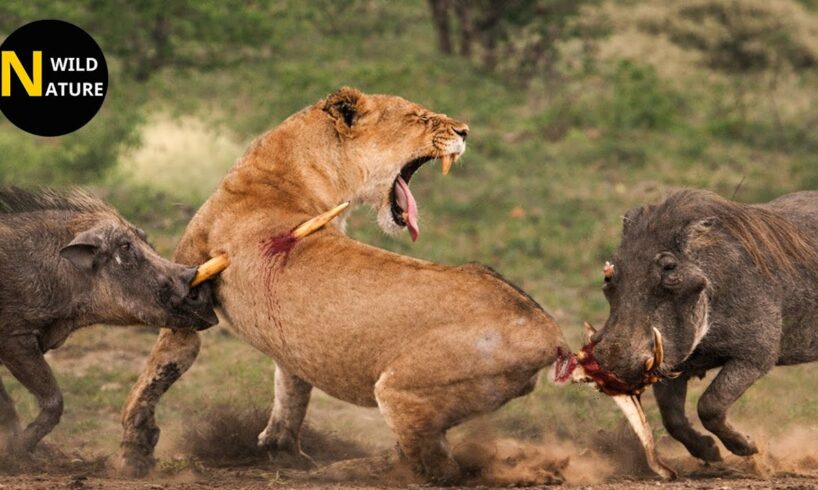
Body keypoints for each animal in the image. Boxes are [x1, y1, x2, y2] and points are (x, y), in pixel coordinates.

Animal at [118, 87, 567, 483]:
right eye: (419, 117)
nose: (465, 131)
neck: (283, 174)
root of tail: (550, 330)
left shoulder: (186, 302)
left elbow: (155, 376)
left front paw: (134, 455)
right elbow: (290, 389)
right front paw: (280, 448)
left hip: (400, 391)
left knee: (437, 470)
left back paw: (341, 471)